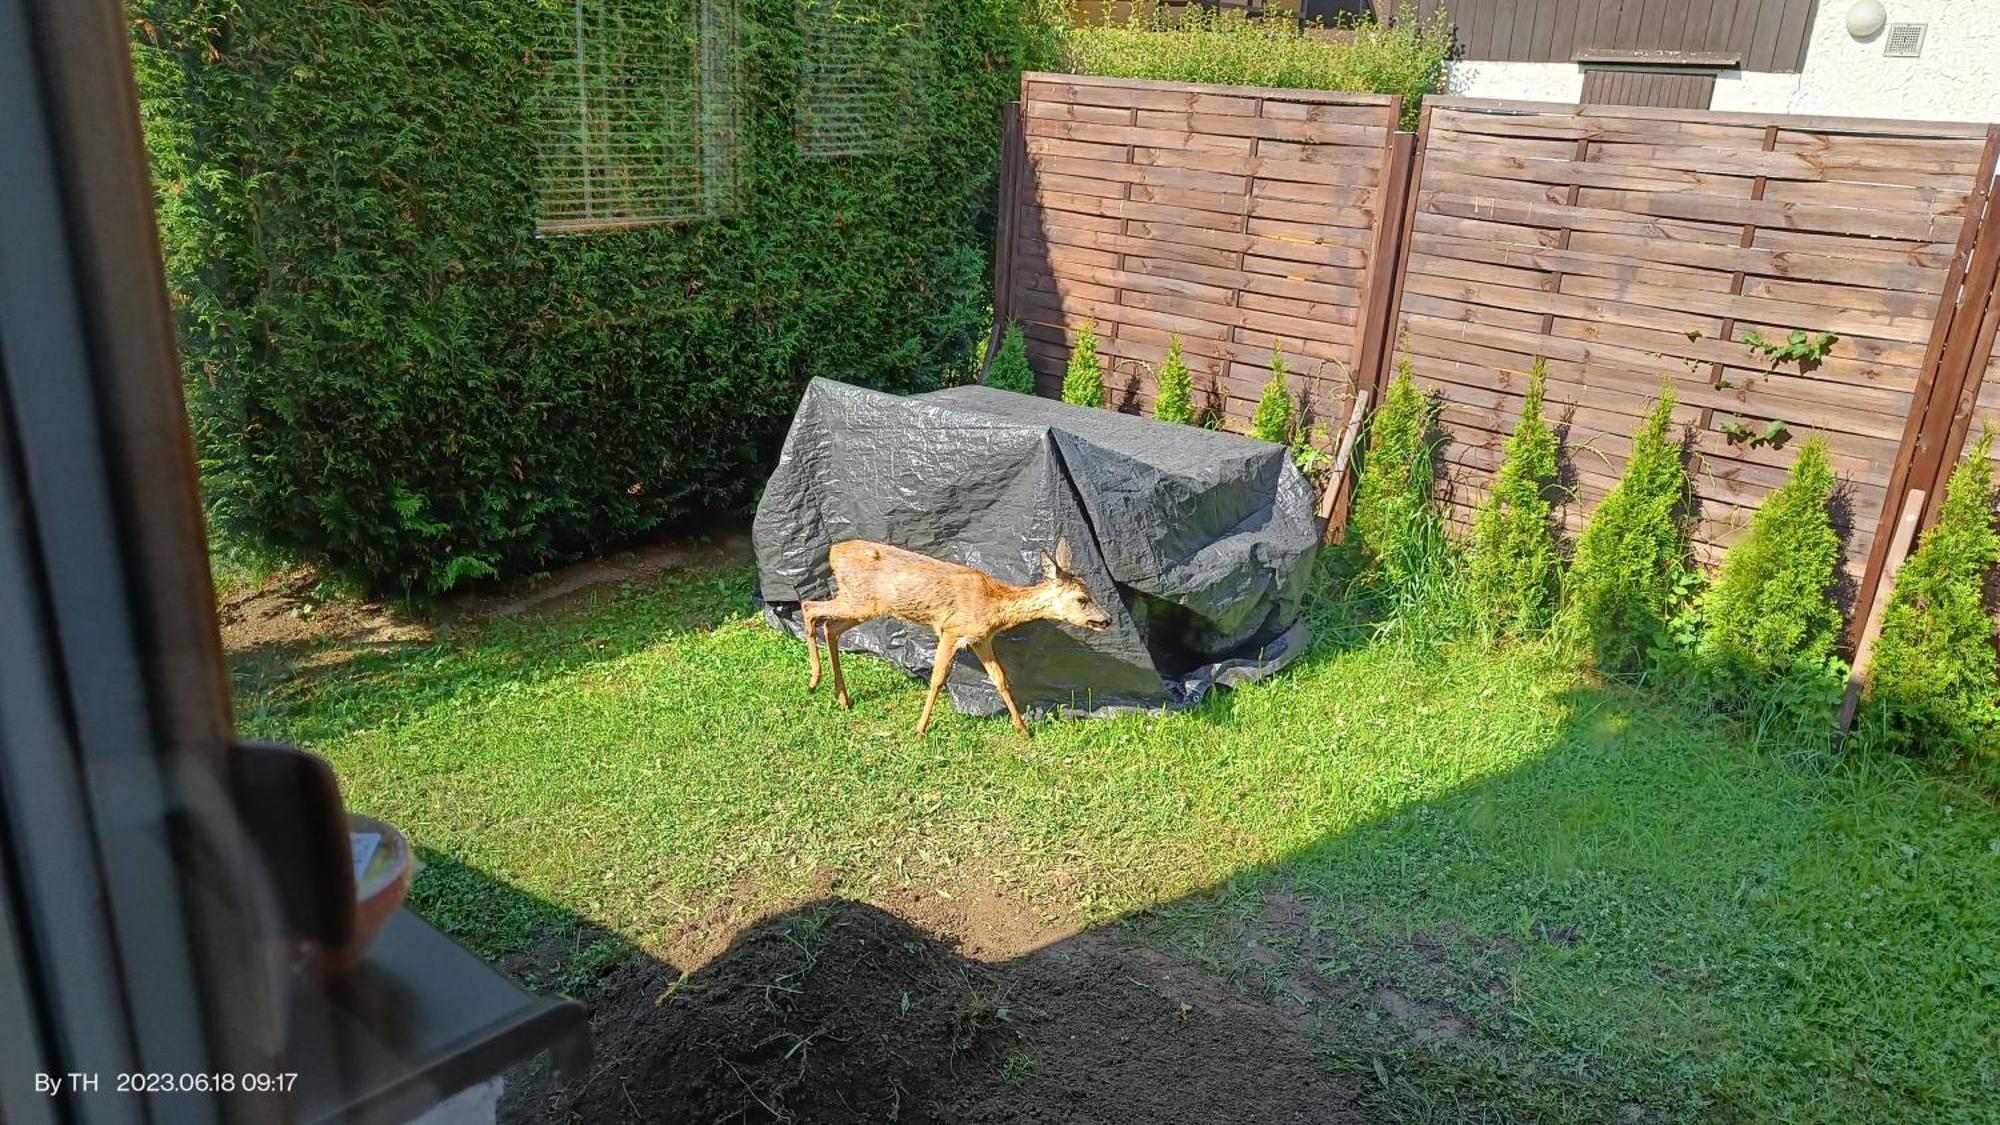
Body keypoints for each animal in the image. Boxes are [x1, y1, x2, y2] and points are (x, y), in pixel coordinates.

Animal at [796, 536, 1112, 736]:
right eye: (1082, 599)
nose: (1107, 619)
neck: (993, 604)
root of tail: (833, 552)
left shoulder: (982, 639)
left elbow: (1001, 680)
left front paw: (1023, 729)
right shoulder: (950, 629)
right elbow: (937, 679)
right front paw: (920, 729)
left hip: (862, 604)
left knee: (830, 627)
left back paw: (842, 697)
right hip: (859, 600)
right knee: (809, 607)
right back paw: (813, 681)